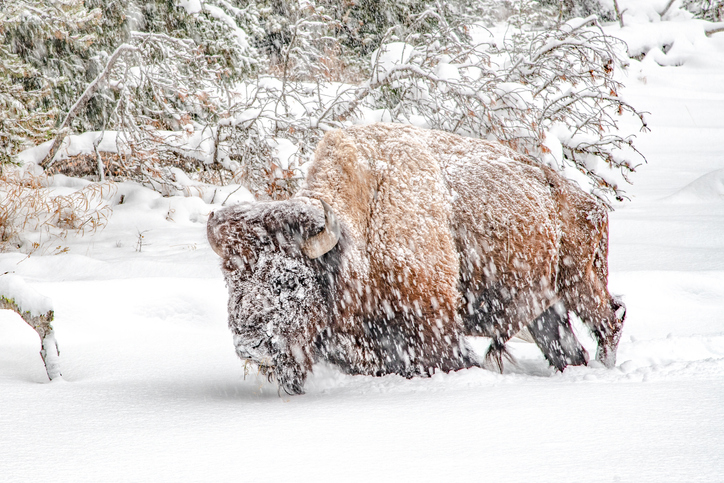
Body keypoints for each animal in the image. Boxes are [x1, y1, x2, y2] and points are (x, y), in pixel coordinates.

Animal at [206, 123, 624, 396]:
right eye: (230, 278)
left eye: (290, 280)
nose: (251, 344)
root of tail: (591, 204)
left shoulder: (433, 326)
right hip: (544, 307)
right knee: (566, 347)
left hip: (580, 284)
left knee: (608, 321)